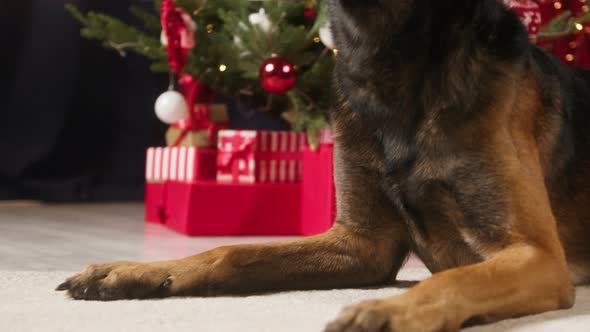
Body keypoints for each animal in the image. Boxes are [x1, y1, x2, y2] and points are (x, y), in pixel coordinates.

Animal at [56, 1, 590, 330]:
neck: (392, 59)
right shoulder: (362, 245)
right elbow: (231, 252)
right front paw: (136, 271)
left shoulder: (538, 257)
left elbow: (455, 278)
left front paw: (392, 312)